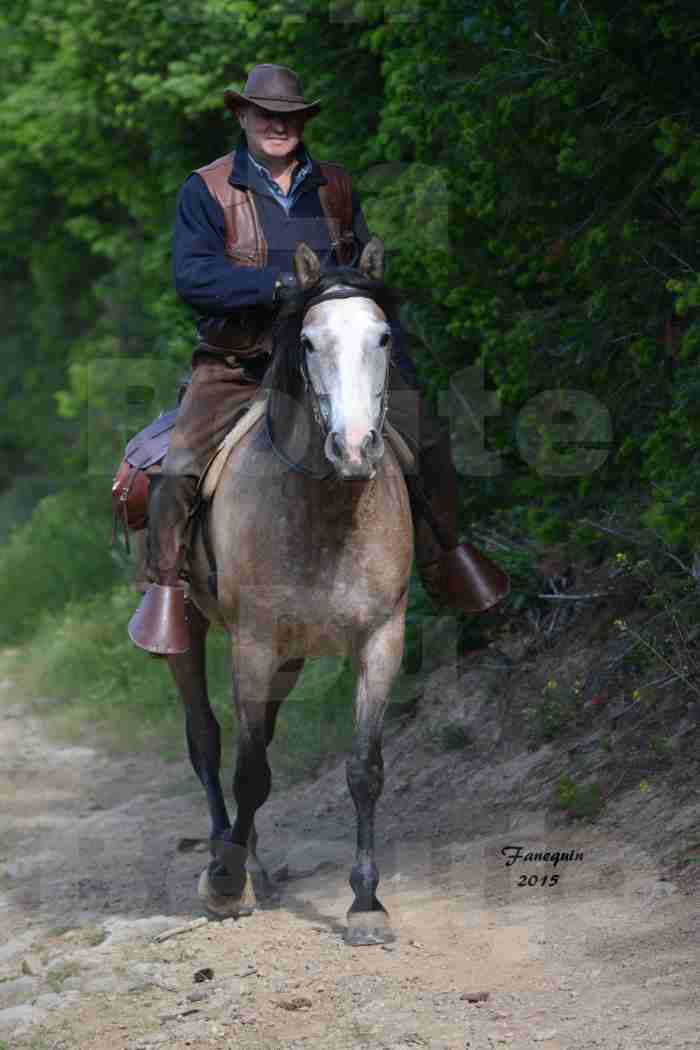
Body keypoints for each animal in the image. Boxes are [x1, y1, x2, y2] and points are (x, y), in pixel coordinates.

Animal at [167, 238, 413, 944]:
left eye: (383, 336)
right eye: (307, 341)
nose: (354, 449)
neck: (324, 511)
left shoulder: (382, 640)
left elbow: (363, 770)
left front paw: (366, 903)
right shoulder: (252, 646)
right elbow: (249, 770)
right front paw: (223, 885)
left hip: (292, 658)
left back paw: (255, 866)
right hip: (188, 632)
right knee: (207, 739)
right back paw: (229, 861)